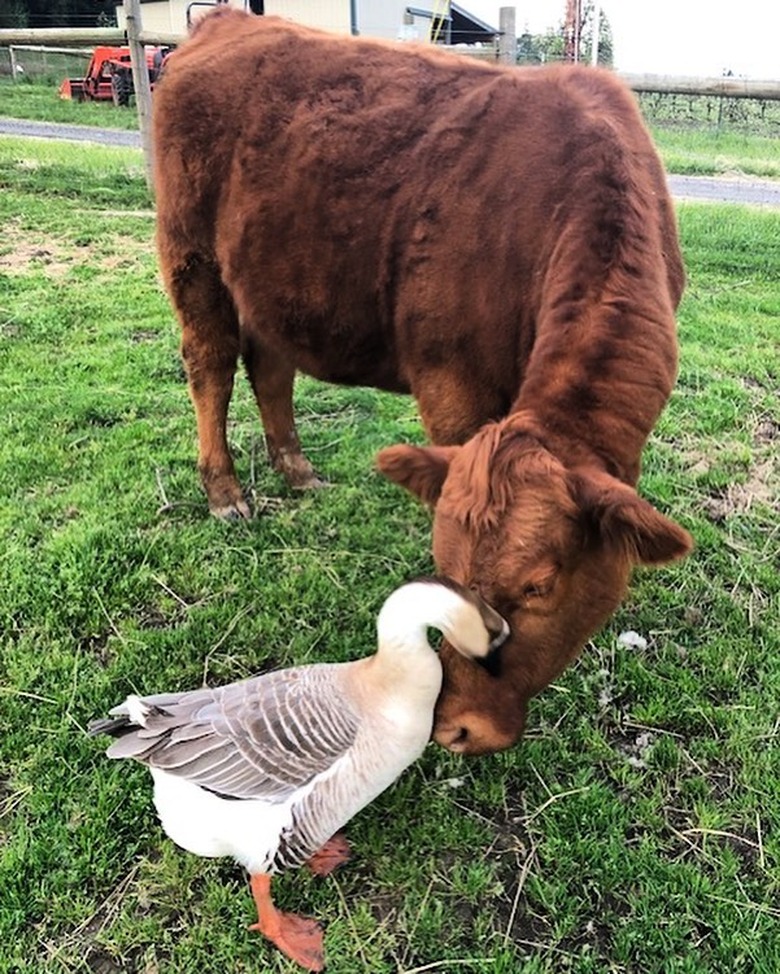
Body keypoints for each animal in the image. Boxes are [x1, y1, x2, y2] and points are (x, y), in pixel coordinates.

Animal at [155, 5, 692, 756]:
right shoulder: (451, 382)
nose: (458, 726)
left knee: (270, 366)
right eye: (449, 570)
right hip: (192, 255)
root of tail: (225, 23)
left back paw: (296, 469)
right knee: (209, 364)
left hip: (269, 280)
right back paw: (225, 491)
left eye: (538, 586)